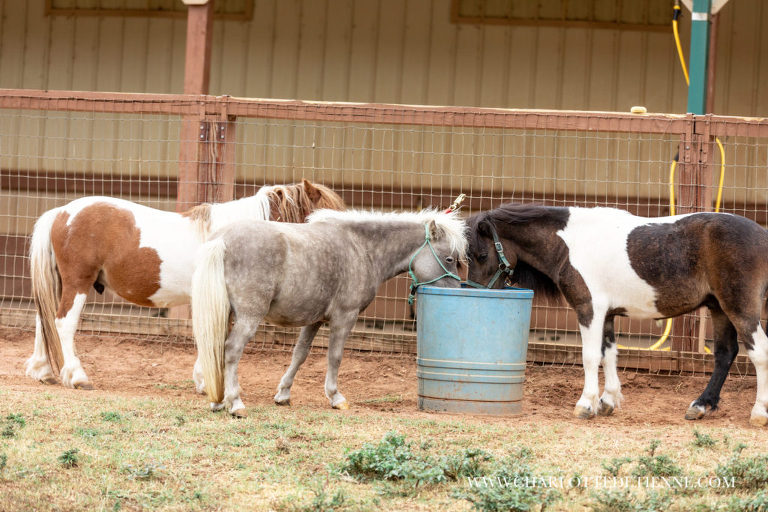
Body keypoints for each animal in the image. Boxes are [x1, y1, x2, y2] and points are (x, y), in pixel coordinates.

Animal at [26, 179, 345, 391]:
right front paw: (208, 382)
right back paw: (77, 376)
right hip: (78, 282)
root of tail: (61, 212)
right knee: (63, 323)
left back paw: (43, 371)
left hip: (61, 284)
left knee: (46, 321)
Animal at [191, 209, 467, 416]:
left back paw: (218, 400)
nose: (456, 292)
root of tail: (222, 240)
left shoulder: (314, 320)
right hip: (248, 318)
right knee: (231, 350)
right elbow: (335, 357)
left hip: (225, 315)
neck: (361, 248)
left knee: (214, 350)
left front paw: (283, 394)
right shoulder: (345, 317)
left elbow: (299, 355)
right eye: (450, 259)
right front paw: (335, 397)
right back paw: (235, 403)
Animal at [465, 203, 768, 427]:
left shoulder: (588, 308)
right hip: (719, 308)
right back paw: (701, 405)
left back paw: (758, 413)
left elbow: (590, 356)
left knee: (759, 352)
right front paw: (608, 401)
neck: (571, 244)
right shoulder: (607, 314)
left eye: (481, 255)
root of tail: (762, 235)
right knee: (725, 353)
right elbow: (608, 354)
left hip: (739, 307)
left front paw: (586, 404)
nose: (473, 293)